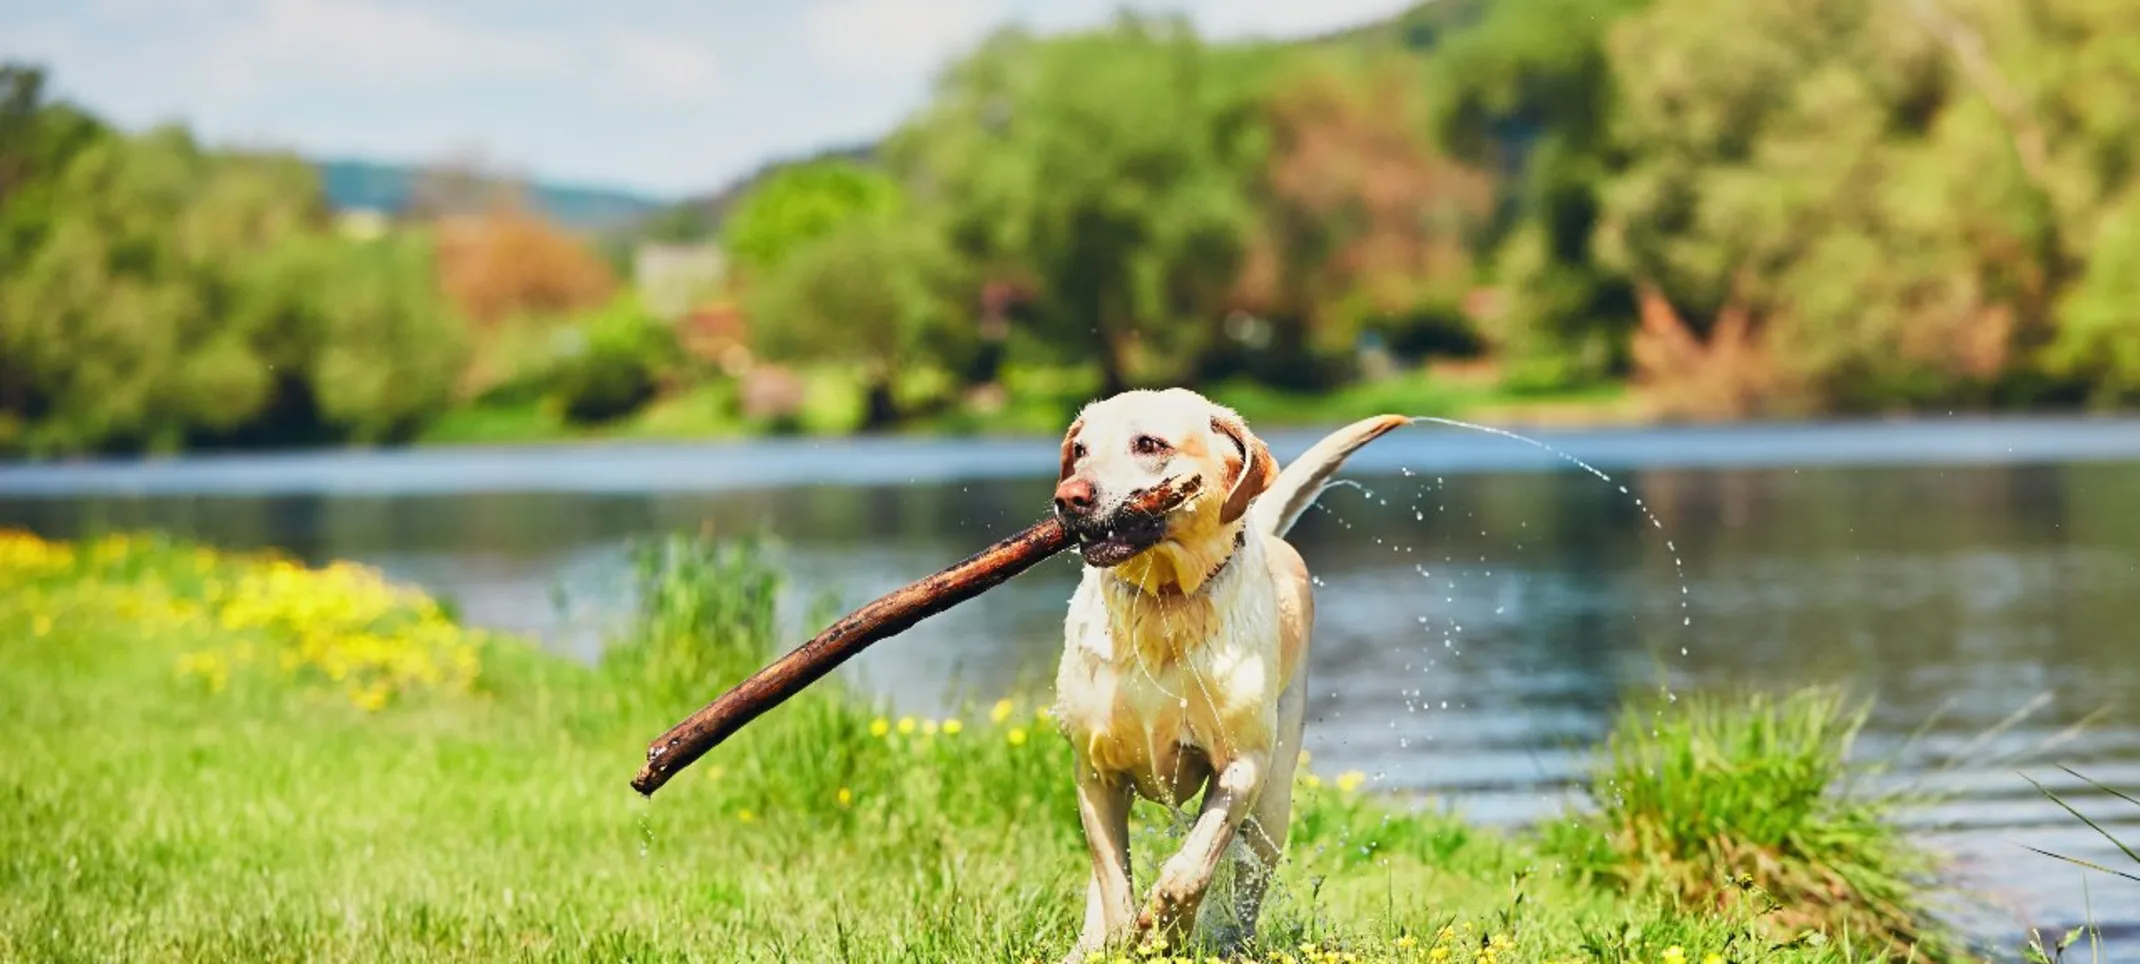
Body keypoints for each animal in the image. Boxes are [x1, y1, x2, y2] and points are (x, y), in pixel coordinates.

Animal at [1048, 389, 1412, 955]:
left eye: (1148, 443)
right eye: (1080, 450)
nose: (1069, 497)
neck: (1165, 602)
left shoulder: (1243, 765)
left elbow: (1194, 863)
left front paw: (1168, 924)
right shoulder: (1095, 772)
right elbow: (1112, 880)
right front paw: (1122, 937)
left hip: (1274, 802)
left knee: (1247, 877)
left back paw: (1232, 943)